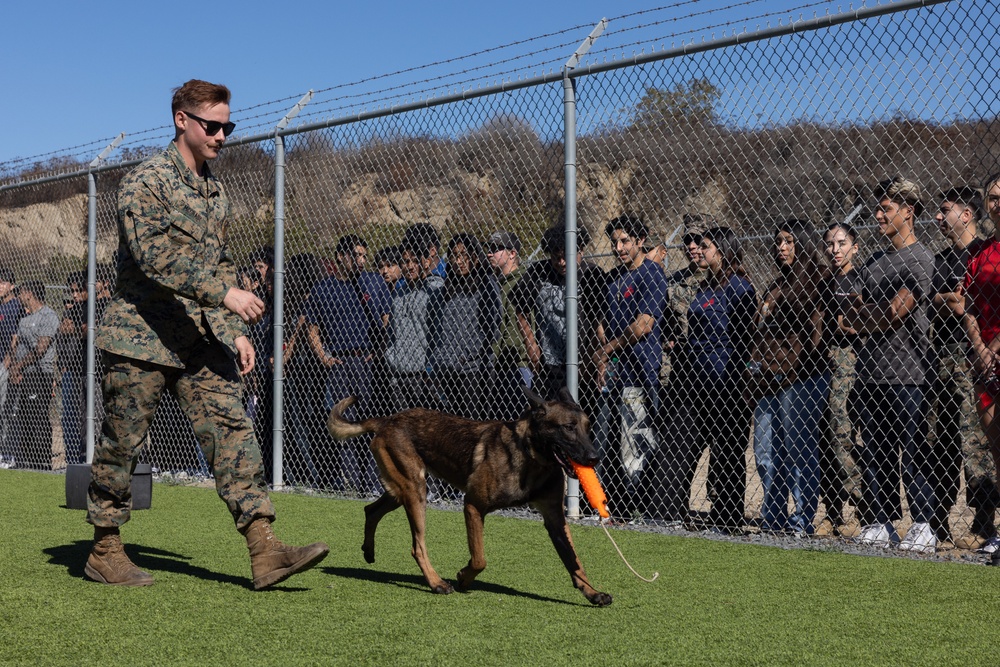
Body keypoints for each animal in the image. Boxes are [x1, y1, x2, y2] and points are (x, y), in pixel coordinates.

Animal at [328, 388, 608, 608]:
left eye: (588, 428)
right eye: (568, 428)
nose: (595, 458)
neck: (532, 457)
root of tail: (386, 420)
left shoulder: (555, 520)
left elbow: (575, 562)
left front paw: (592, 592)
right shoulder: (473, 506)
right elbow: (479, 559)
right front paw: (463, 577)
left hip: (400, 491)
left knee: (370, 511)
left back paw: (369, 551)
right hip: (415, 491)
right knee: (417, 546)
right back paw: (436, 583)